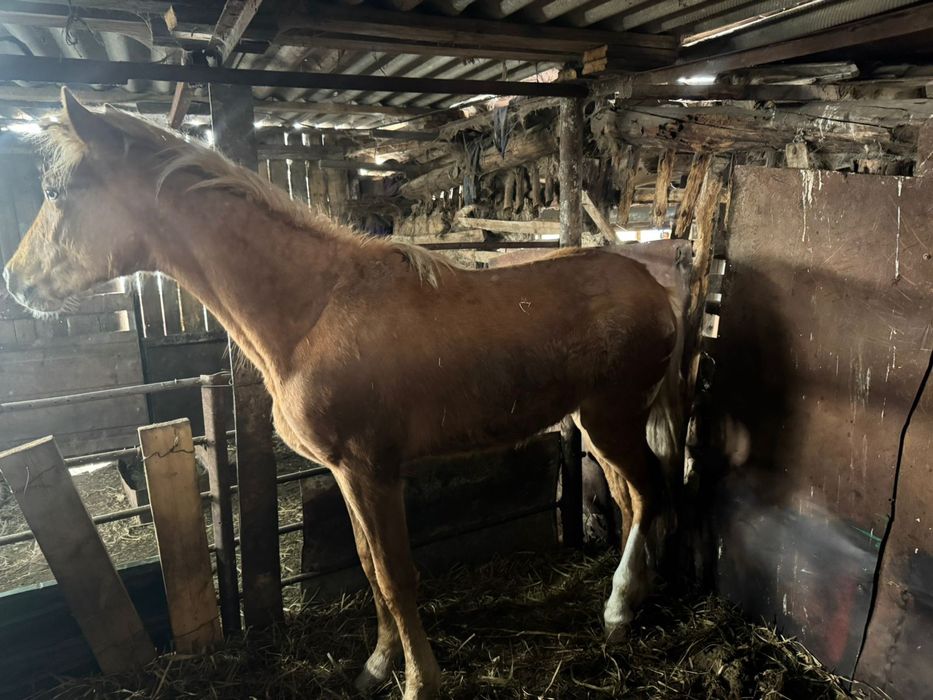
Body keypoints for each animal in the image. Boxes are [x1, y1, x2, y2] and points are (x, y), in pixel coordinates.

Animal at [3, 88, 684, 700]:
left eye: (56, 193)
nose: (15, 281)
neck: (314, 310)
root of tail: (653, 283)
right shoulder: (345, 472)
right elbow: (366, 567)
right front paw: (376, 667)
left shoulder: (371, 471)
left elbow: (395, 575)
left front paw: (420, 683)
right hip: (596, 423)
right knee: (629, 499)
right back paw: (633, 596)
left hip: (612, 418)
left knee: (652, 490)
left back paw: (619, 609)